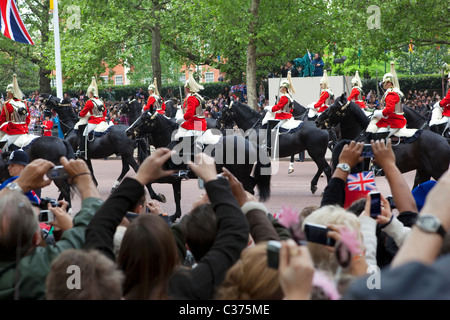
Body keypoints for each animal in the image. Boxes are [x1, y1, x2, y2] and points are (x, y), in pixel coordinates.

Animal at [125, 110, 270, 220]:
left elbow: (148, 182)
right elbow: (177, 196)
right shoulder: (176, 179)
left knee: (249, 189)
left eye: (143, 119)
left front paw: (159, 197)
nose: (128, 131)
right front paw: (175, 215)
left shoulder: (169, 176)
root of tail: (250, 143)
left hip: (241, 174)